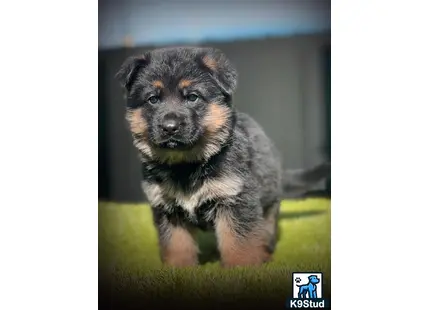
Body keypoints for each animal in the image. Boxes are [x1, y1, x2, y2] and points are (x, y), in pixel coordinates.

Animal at [114, 47, 330, 268]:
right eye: (153, 99)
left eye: (192, 97)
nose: (170, 127)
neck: (186, 165)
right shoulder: (167, 208)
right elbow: (176, 243)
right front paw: (179, 268)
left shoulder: (235, 199)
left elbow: (239, 241)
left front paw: (241, 267)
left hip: (269, 203)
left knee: (266, 228)